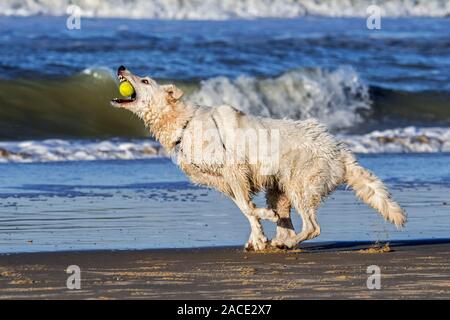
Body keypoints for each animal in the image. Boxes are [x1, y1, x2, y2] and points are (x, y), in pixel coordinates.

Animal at [110, 67, 406, 251]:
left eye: (145, 81)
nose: (121, 67)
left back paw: (287, 242)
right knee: (289, 224)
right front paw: (259, 238)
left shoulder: (234, 170)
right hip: (280, 188)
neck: (185, 123)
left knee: (313, 227)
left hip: (300, 186)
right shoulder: (225, 182)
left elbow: (249, 208)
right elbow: (245, 209)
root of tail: (340, 151)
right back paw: (280, 241)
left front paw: (263, 226)